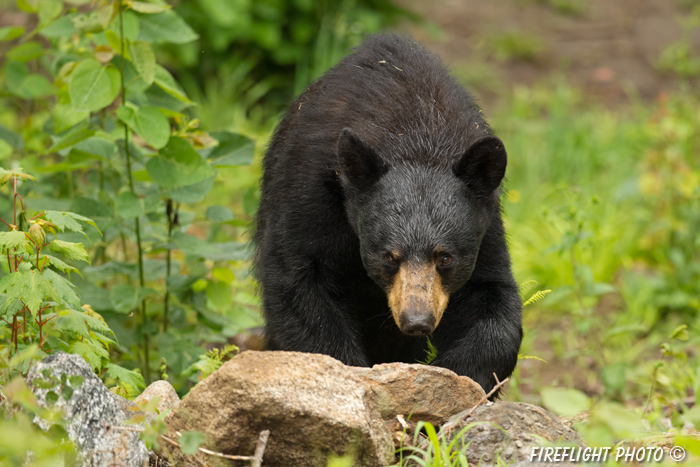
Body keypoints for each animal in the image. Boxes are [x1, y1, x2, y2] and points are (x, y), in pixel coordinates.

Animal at [254, 34, 524, 396]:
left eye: (445, 258)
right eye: (389, 257)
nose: (417, 322)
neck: (416, 135)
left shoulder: (487, 222)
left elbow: (490, 293)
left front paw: (450, 376)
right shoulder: (308, 190)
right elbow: (300, 279)